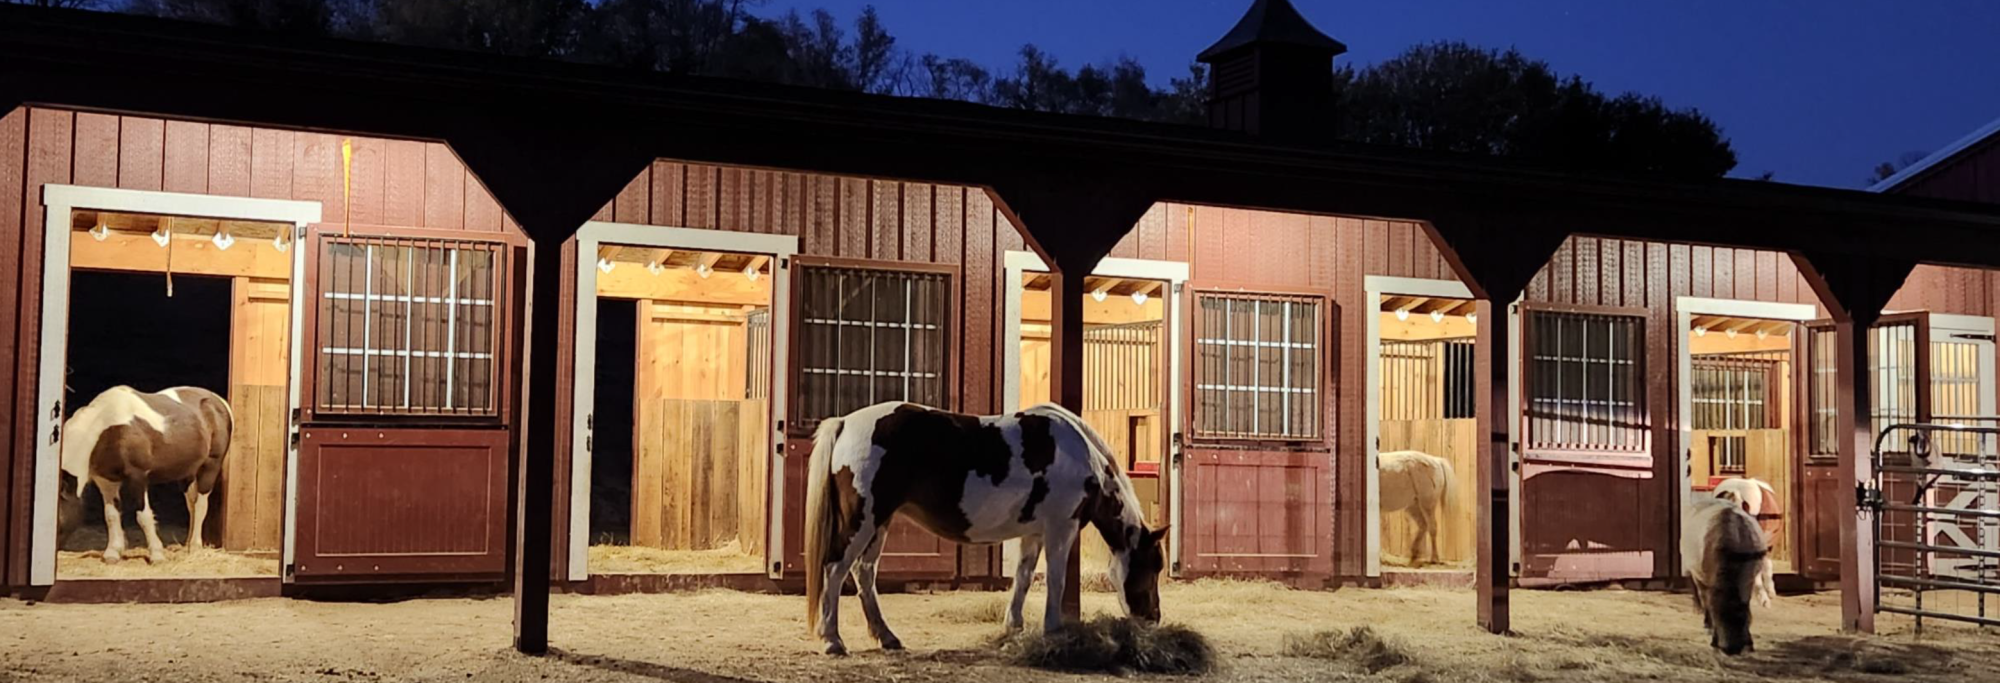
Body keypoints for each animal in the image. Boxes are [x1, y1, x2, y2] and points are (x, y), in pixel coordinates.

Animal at [54, 386, 233, 565]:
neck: (107, 428)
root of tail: (219, 402)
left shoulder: (137, 478)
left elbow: (143, 516)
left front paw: (157, 555)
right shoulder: (106, 481)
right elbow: (111, 515)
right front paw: (113, 553)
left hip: (210, 467)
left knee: (201, 505)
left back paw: (195, 547)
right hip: (187, 473)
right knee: (192, 505)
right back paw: (187, 544)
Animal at [804, 401, 1167, 655]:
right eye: (1153, 566)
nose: (1153, 617)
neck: (1080, 455)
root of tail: (845, 423)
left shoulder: (1034, 533)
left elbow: (1023, 577)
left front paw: (1013, 627)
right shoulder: (1061, 528)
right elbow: (1056, 580)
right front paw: (1053, 630)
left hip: (879, 522)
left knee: (864, 573)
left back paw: (887, 637)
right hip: (864, 519)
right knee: (835, 570)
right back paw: (833, 641)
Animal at [1681, 495, 1767, 655]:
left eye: (1743, 615)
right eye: (1717, 615)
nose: (1732, 648)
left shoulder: (1747, 582)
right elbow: (1708, 603)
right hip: (1696, 575)